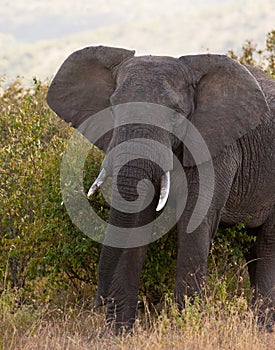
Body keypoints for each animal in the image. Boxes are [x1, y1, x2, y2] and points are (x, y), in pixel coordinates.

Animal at [46, 45, 274, 332]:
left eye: (176, 114)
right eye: (112, 108)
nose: (98, 300)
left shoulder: (215, 149)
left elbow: (194, 222)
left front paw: (186, 328)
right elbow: (134, 224)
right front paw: (117, 334)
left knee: (267, 244)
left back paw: (264, 328)